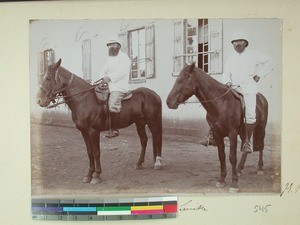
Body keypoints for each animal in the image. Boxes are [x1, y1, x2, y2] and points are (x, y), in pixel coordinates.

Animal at [166, 63, 268, 193]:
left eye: (180, 80)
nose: (168, 102)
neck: (221, 103)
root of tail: (261, 97)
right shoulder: (217, 133)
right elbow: (221, 156)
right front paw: (221, 180)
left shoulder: (232, 133)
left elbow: (232, 157)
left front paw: (234, 184)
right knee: (246, 147)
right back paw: (240, 169)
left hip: (261, 128)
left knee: (261, 147)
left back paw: (260, 168)